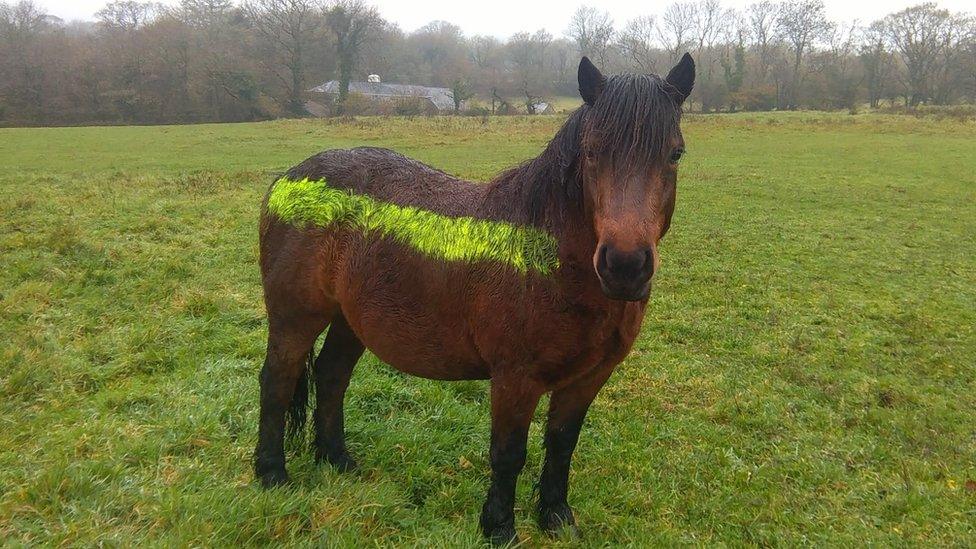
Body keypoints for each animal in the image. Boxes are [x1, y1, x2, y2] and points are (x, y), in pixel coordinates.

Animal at [252, 53, 692, 540]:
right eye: (592, 151)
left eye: (675, 153)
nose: (625, 267)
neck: (548, 257)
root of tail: (288, 178)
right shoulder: (515, 377)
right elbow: (508, 453)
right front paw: (499, 528)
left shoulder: (588, 377)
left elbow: (562, 444)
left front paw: (557, 518)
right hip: (295, 318)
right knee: (277, 381)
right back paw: (272, 475)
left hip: (351, 321)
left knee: (331, 376)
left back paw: (338, 461)